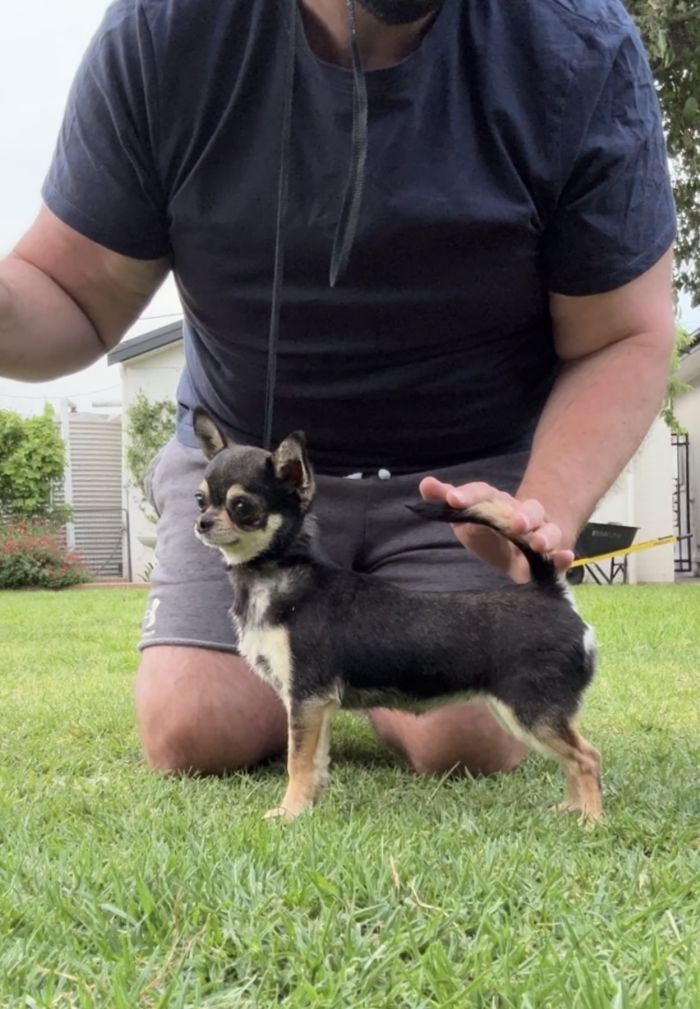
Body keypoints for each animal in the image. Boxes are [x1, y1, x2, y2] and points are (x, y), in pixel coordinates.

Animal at [192, 408, 602, 824]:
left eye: (243, 507)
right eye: (200, 500)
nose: (202, 522)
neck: (277, 576)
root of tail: (550, 591)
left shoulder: (306, 697)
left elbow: (298, 762)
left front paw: (288, 813)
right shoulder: (315, 706)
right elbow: (315, 763)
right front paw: (307, 808)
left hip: (531, 712)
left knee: (587, 758)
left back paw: (591, 821)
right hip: (525, 714)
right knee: (573, 759)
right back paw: (571, 808)